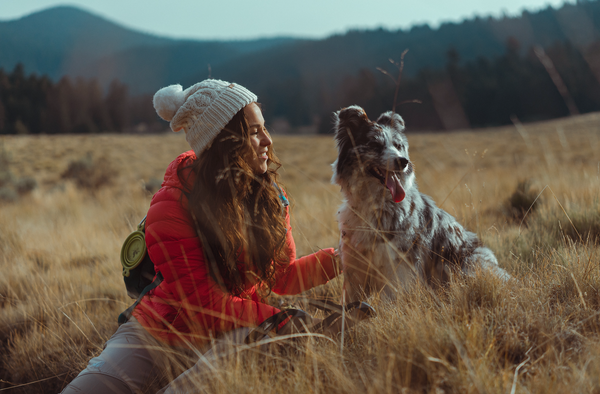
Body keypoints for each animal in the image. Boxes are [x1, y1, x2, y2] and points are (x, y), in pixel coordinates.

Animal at [330, 105, 508, 302]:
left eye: (398, 146)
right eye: (375, 145)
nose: (403, 161)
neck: (375, 203)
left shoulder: (397, 267)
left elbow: (389, 300)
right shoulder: (355, 266)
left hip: (471, 261)